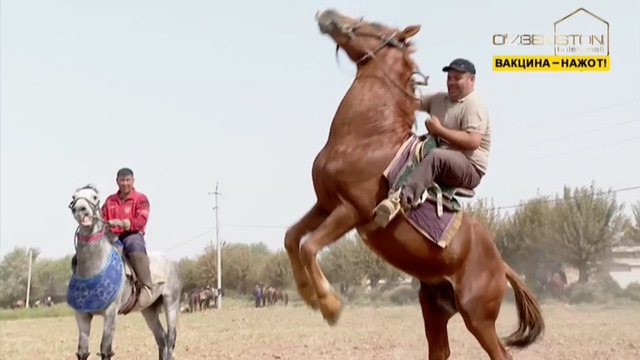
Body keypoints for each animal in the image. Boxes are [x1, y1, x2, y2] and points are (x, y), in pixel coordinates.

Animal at [67, 184, 182, 358]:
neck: (94, 268)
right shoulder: (82, 315)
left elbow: (105, 349)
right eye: (74, 198)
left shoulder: (111, 313)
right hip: (148, 310)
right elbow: (83, 351)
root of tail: (173, 262)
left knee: (170, 338)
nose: (80, 209)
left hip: (171, 303)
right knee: (161, 337)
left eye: (95, 197)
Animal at [286, 9, 544, 360]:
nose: (328, 14)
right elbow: (292, 238)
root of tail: (502, 264)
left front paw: (330, 305)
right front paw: (309, 296)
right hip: (435, 306)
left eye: (375, 26)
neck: (366, 139)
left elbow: (309, 246)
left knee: (500, 354)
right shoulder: (325, 204)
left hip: (478, 316)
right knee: (440, 351)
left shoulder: (350, 210)